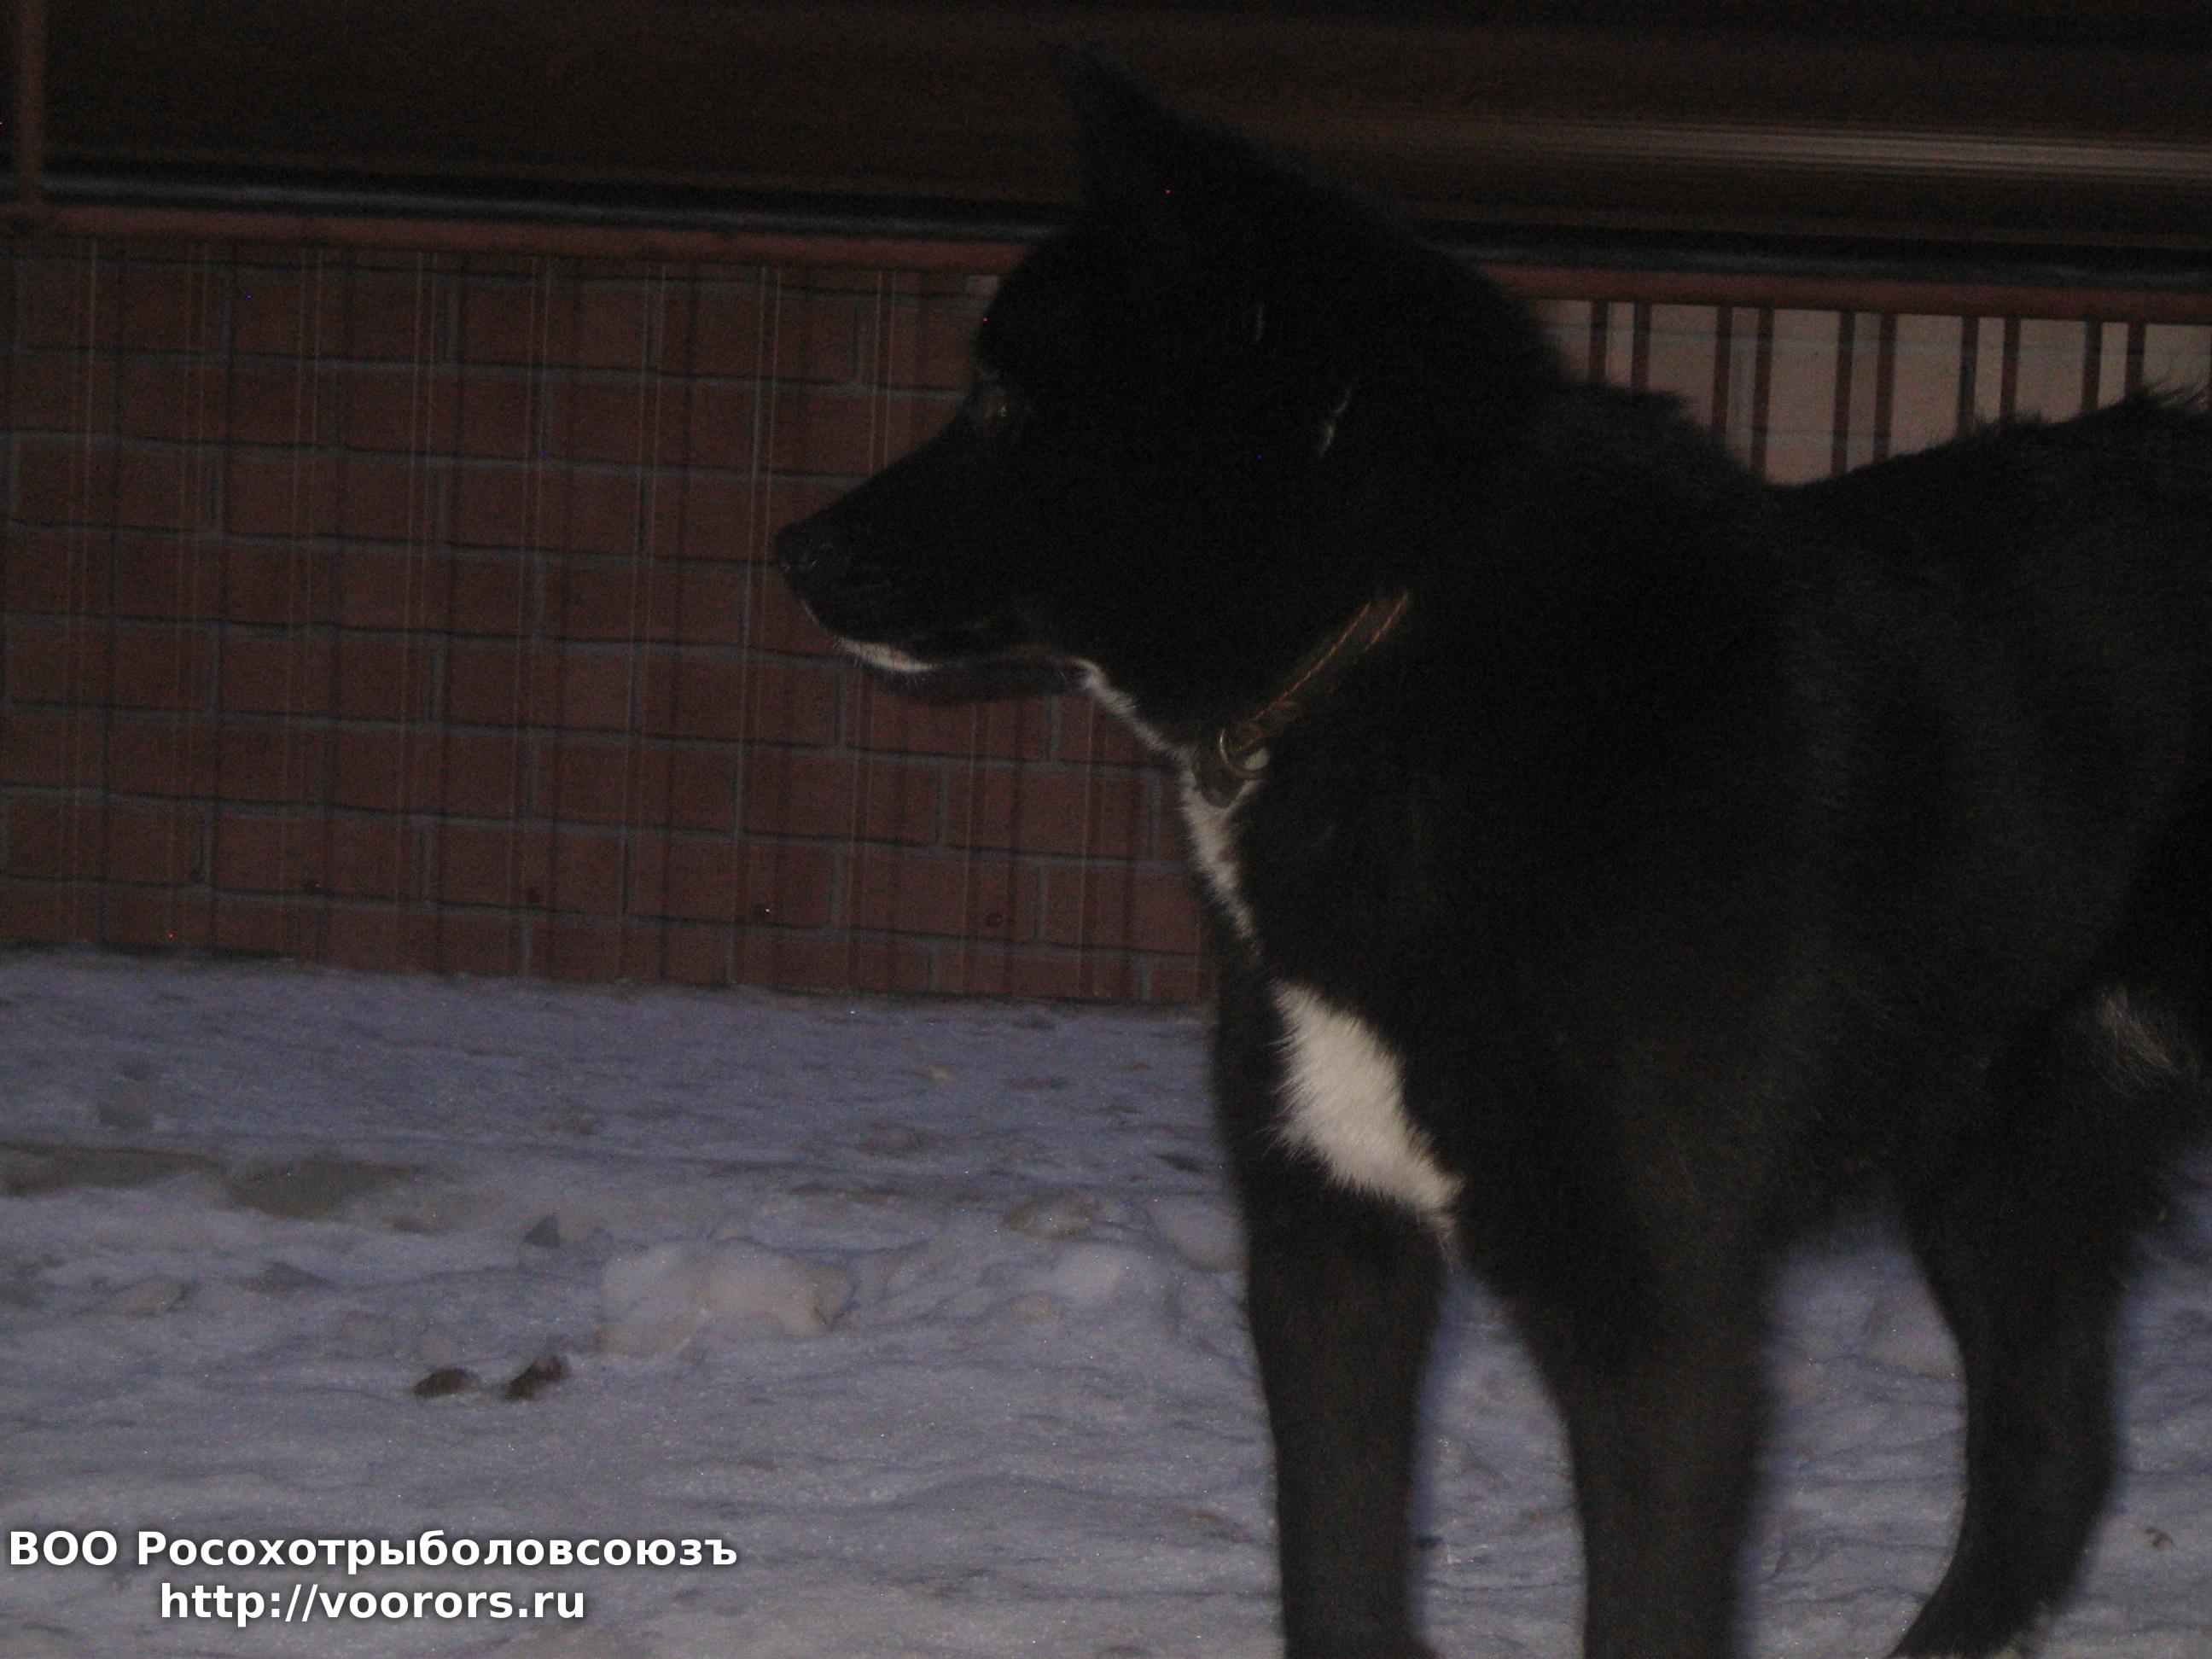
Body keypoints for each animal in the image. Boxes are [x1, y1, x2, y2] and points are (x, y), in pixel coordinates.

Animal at [775, 66, 2212, 1659]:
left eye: (999, 399)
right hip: (1998, 1170)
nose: (788, 549)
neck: (1386, 632)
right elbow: (1335, 1567)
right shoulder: (1326, 1244)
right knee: (2052, 1455)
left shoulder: (1650, 1311)